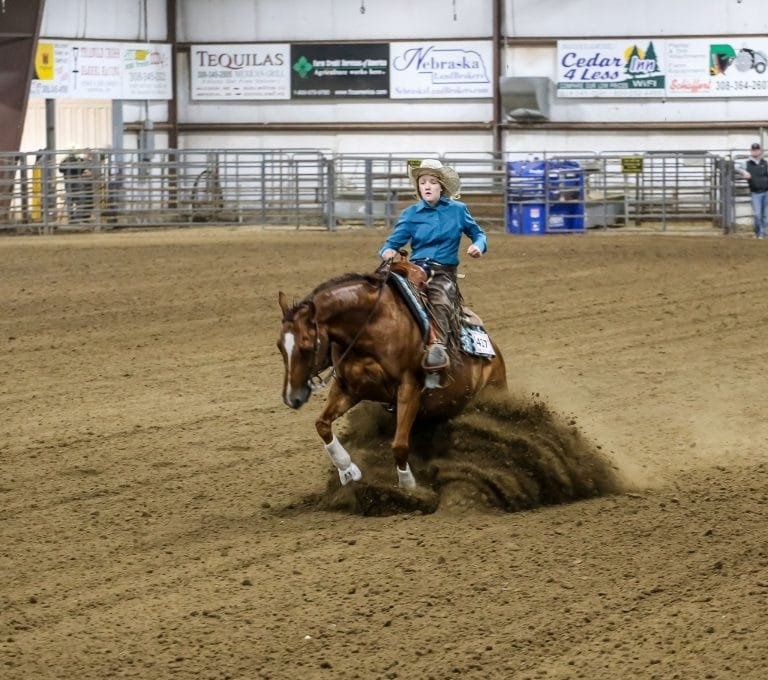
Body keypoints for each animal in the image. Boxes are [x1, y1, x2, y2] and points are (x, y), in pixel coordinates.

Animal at [277, 258, 508, 489]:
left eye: (306, 346)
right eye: (280, 346)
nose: (291, 398)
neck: (371, 327)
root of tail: (495, 354)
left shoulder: (409, 387)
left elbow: (399, 445)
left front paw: (408, 486)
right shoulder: (348, 388)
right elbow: (322, 425)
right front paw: (347, 470)